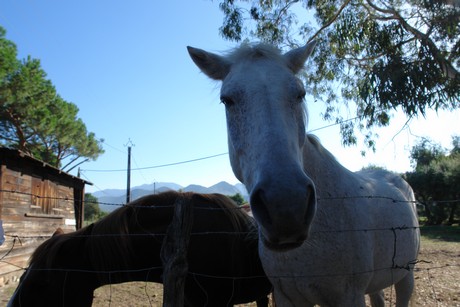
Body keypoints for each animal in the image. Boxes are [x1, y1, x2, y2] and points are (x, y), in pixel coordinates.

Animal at [188, 41, 420, 307]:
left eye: (300, 94)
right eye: (227, 100)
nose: (286, 207)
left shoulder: (349, 296)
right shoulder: (286, 296)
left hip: (406, 275)